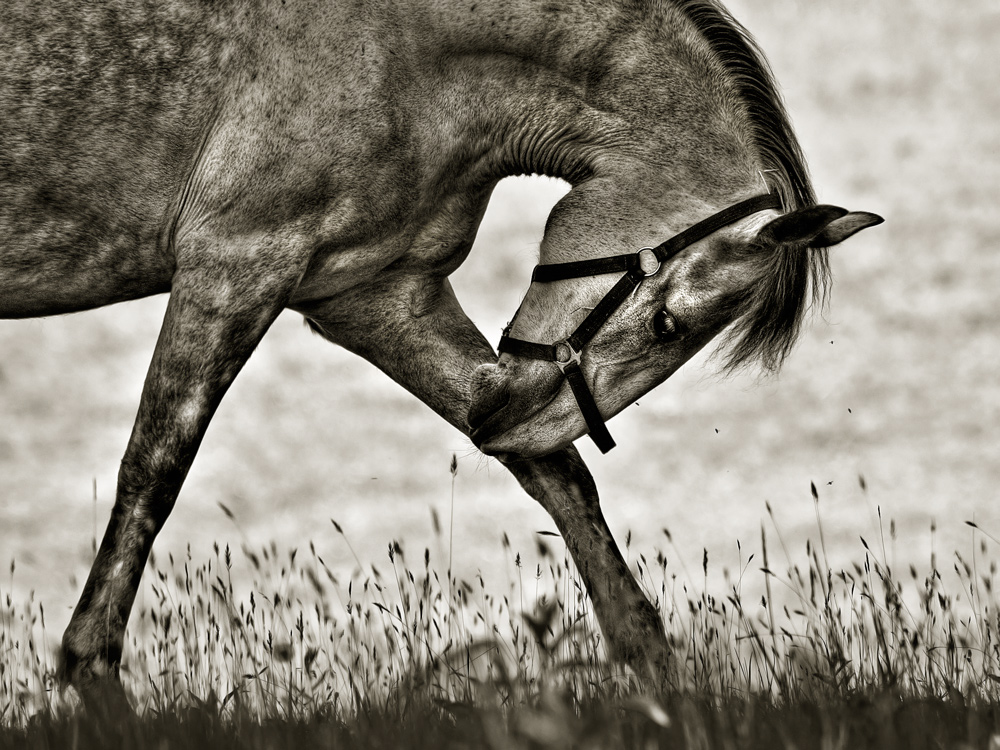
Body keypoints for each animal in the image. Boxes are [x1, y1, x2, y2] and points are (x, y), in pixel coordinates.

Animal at [0, 0, 876, 712]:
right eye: (666, 324)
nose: (500, 416)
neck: (404, 50)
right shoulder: (235, 268)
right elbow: (154, 471)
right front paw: (91, 671)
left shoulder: (377, 294)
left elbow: (562, 482)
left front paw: (654, 668)